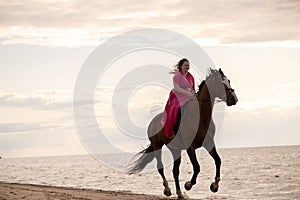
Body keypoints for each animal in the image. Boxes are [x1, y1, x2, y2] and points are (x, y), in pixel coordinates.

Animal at [127, 68, 238, 198]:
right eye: (221, 83)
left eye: (228, 81)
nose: (234, 99)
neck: (200, 116)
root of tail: (153, 122)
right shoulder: (190, 147)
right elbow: (197, 167)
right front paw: (189, 184)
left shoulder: (209, 143)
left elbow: (218, 160)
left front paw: (215, 185)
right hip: (157, 145)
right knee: (160, 168)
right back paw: (167, 189)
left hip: (175, 149)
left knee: (175, 171)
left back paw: (179, 193)